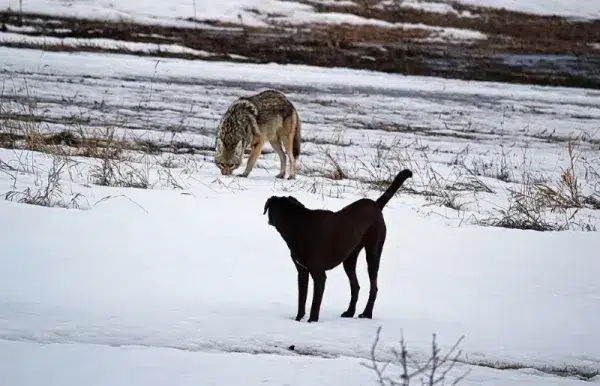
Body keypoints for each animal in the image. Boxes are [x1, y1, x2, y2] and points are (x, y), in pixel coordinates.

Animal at [262, 169, 412, 322]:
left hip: (373, 252)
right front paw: (298, 319)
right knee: (355, 286)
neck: (297, 224)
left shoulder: (319, 274)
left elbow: (315, 303)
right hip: (350, 258)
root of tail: (375, 205)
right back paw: (350, 312)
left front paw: (312, 322)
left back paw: (367, 313)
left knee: (373, 286)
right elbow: (301, 299)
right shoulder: (302, 271)